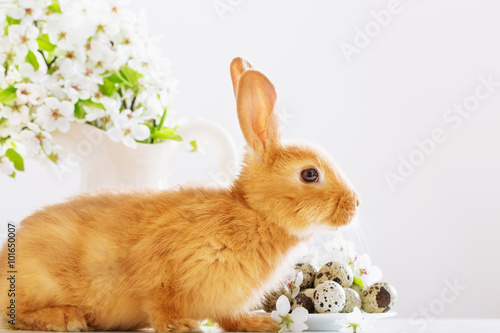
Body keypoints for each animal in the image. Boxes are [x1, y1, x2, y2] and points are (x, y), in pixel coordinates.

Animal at [0, 57, 360, 330]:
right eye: (310, 174)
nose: (354, 205)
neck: (253, 212)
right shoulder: (163, 269)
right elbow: (161, 302)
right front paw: (182, 326)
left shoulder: (224, 301)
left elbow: (229, 317)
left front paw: (259, 324)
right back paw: (65, 317)